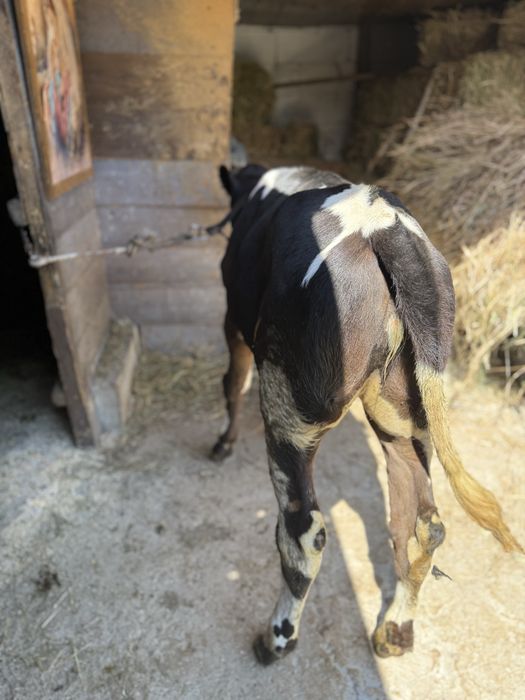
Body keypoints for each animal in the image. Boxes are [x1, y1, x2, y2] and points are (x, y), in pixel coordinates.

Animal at [211, 164, 522, 663]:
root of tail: (387, 227)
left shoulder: (232, 320)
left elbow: (230, 382)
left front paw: (223, 444)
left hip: (289, 409)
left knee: (304, 530)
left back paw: (277, 638)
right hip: (403, 417)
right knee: (423, 523)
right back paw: (395, 630)